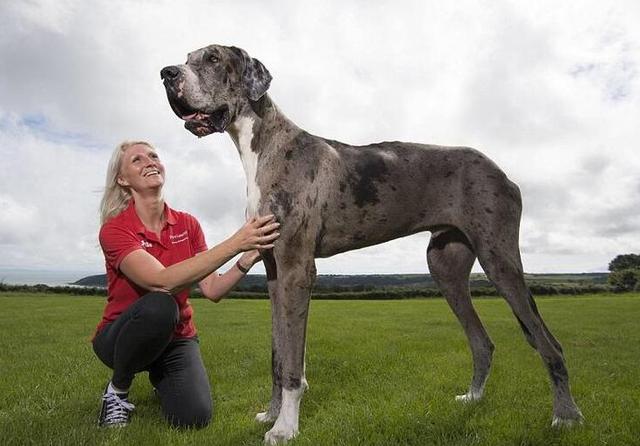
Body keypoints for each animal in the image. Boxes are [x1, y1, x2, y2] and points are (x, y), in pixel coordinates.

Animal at [161, 44, 584, 442]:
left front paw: (286, 428)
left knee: (549, 343)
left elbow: (294, 364)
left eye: (213, 59)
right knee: (483, 342)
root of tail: (502, 171)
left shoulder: (298, 268)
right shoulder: (273, 271)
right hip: (444, 266)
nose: (166, 73)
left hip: (499, 259)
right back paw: (473, 399)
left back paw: (565, 416)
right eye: (187, 58)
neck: (263, 145)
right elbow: (278, 357)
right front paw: (272, 415)